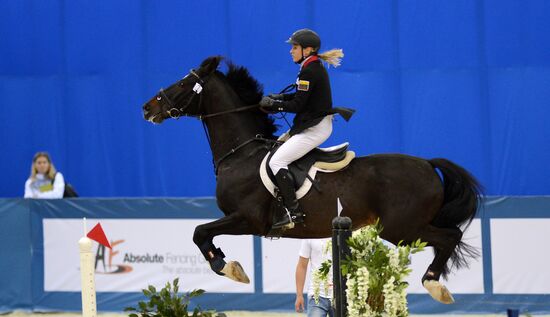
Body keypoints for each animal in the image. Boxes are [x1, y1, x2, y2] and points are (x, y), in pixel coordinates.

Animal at [142, 56, 484, 304]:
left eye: (184, 83)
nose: (147, 107)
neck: (241, 154)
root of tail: (427, 164)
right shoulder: (239, 219)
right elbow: (203, 235)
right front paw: (227, 263)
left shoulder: (248, 219)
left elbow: (199, 233)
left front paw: (228, 268)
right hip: (405, 227)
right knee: (450, 235)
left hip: (402, 228)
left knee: (450, 236)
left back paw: (434, 284)